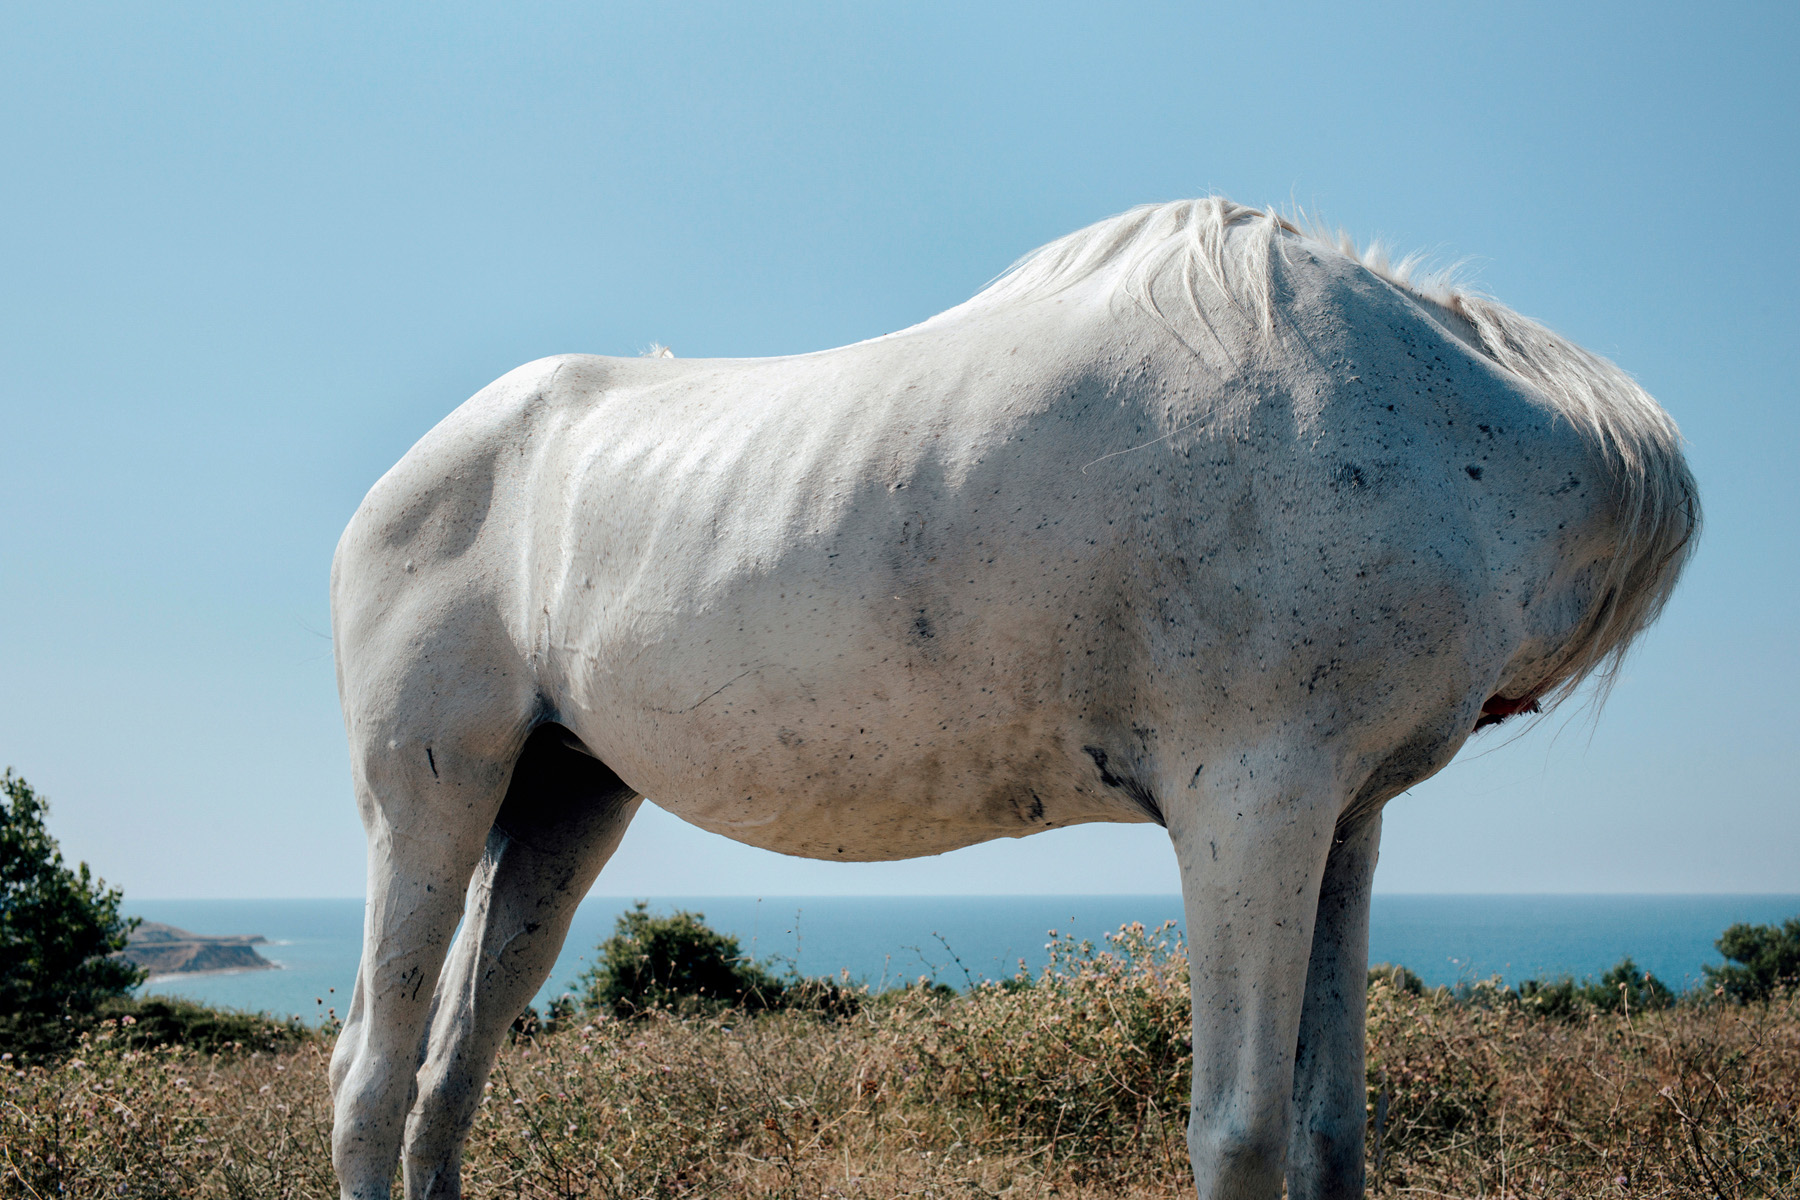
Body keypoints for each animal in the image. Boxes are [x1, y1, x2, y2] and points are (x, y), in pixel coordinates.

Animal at [327, 201, 1699, 1194]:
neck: (1431, 430)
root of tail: (405, 478)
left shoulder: (1342, 822)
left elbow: (1329, 1130)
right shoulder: (1251, 807)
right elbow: (1242, 1130)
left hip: (562, 804)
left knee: (449, 1074)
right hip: (427, 803)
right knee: (371, 1078)